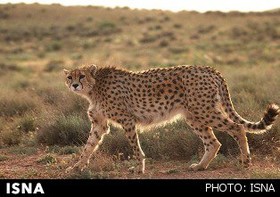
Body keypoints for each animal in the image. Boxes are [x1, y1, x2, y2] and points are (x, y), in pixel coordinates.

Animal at [64, 64, 280, 172]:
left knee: (237, 128)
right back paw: (200, 166)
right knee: (214, 142)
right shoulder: (99, 123)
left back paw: (246, 162)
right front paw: (76, 167)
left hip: (204, 110)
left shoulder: (127, 120)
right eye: (69, 77)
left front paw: (139, 168)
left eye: (81, 76)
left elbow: (135, 148)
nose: (74, 85)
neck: (94, 87)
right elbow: (88, 146)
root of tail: (209, 68)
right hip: (193, 115)